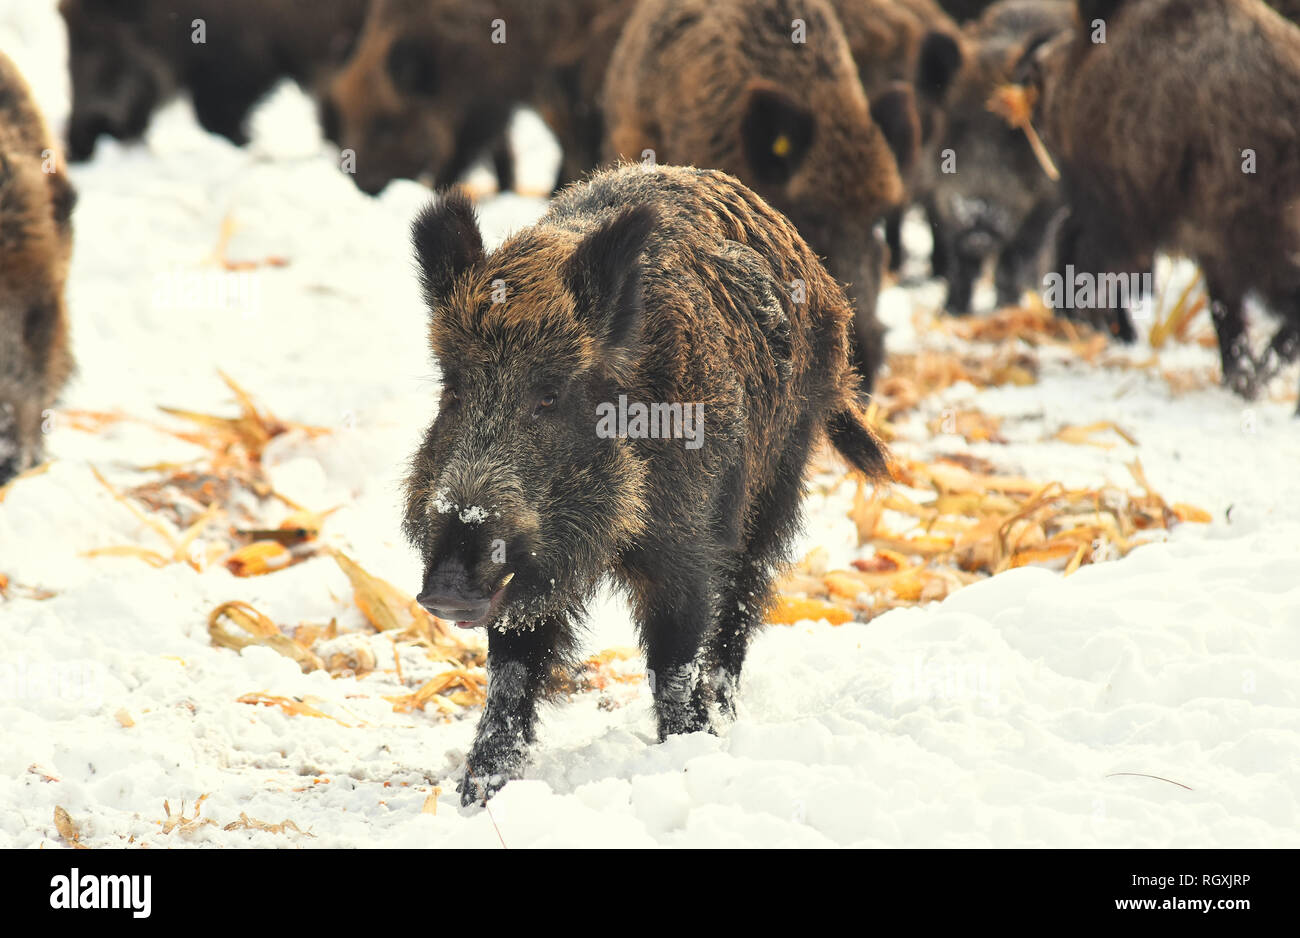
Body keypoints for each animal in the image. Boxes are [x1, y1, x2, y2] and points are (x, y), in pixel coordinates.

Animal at [402, 164, 889, 804]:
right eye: (453, 390)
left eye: (549, 395)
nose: (446, 589)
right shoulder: (525, 579)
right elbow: (511, 666)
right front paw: (480, 792)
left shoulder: (683, 543)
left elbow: (674, 652)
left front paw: (690, 750)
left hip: (780, 476)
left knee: (745, 596)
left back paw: (725, 713)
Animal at [923, 0, 1073, 313]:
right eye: (956, 126)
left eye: (1013, 134)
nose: (978, 211)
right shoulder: (939, 202)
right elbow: (960, 264)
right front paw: (953, 311)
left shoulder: (1046, 202)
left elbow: (1015, 258)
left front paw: (1005, 309)